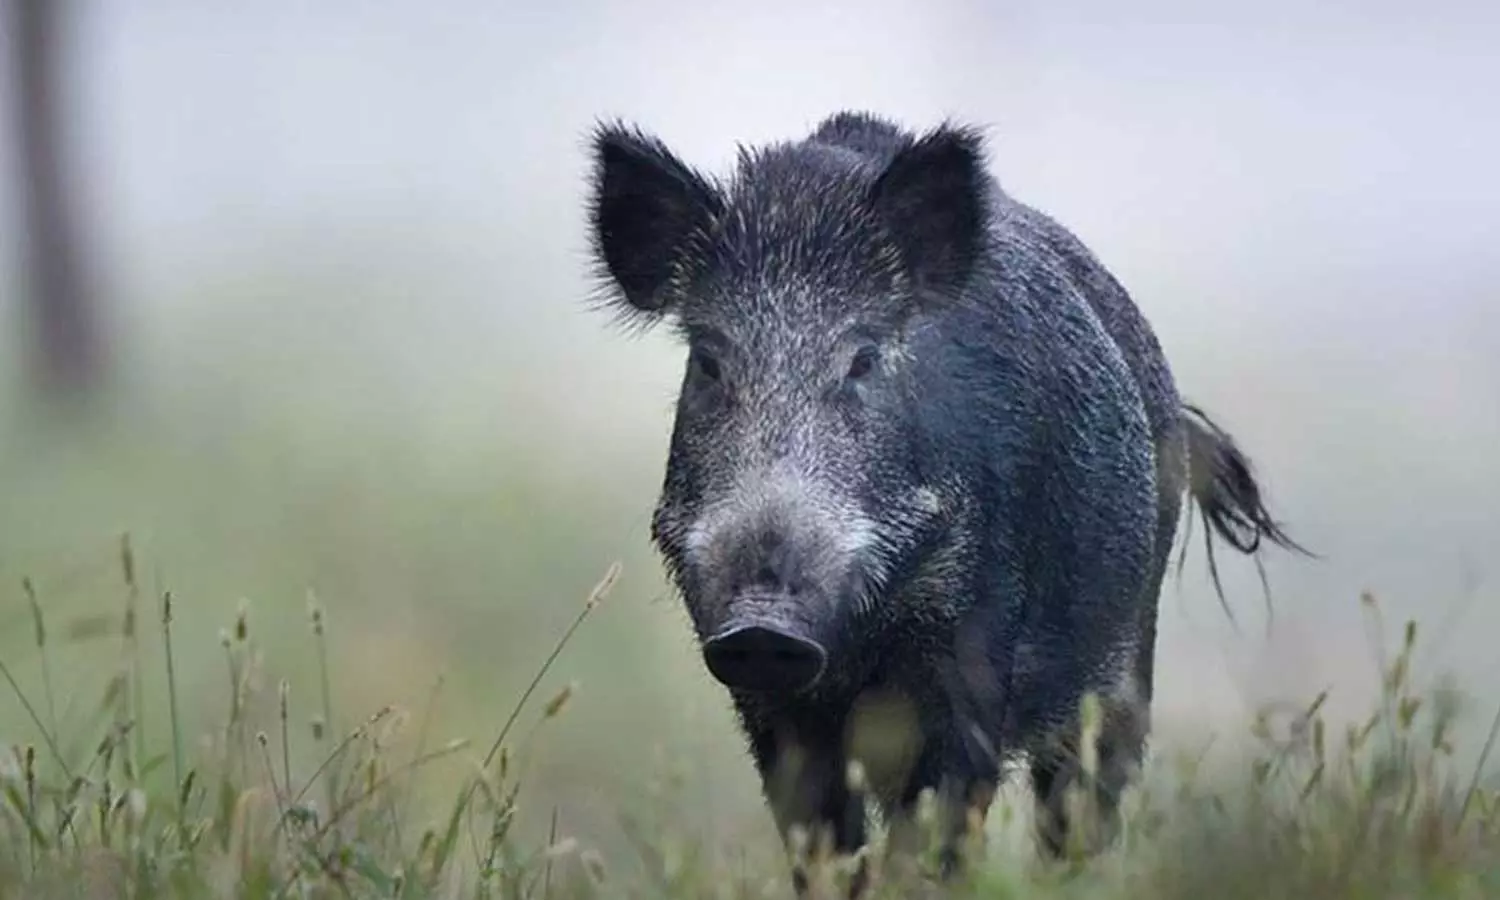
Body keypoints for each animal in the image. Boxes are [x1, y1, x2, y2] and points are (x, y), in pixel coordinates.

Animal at [583, 110, 1310, 891]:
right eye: (709, 362)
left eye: (863, 359)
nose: (763, 623)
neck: (862, 638)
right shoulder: (768, 705)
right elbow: (820, 843)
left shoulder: (973, 656)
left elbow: (938, 826)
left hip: (1122, 666)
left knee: (1081, 811)